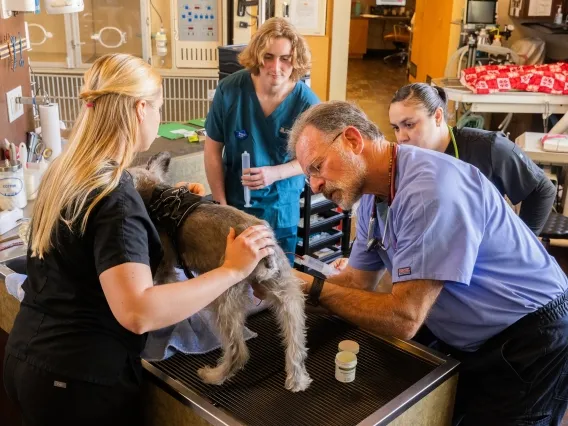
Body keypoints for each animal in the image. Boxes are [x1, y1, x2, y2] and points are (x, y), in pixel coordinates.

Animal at [128, 152, 312, 392]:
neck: (154, 195)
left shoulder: (164, 269)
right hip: (289, 297)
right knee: (296, 342)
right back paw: (297, 379)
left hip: (223, 302)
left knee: (237, 351)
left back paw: (213, 376)